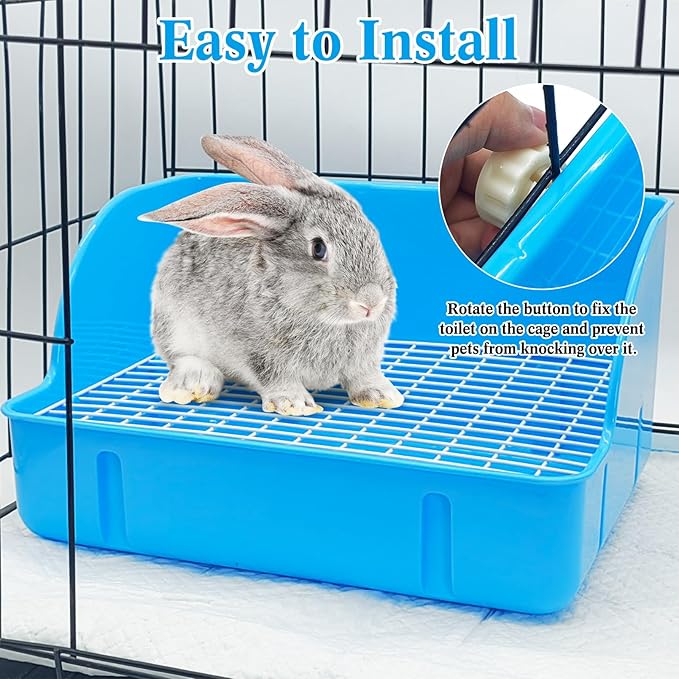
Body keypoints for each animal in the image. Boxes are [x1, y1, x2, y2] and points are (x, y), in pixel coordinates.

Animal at [139, 134, 404, 417]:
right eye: (318, 248)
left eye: (372, 233)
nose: (371, 302)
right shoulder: (260, 356)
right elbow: (276, 377)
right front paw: (295, 404)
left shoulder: (363, 360)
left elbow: (363, 375)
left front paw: (381, 395)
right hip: (173, 324)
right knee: (182, 358)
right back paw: (191, 386)